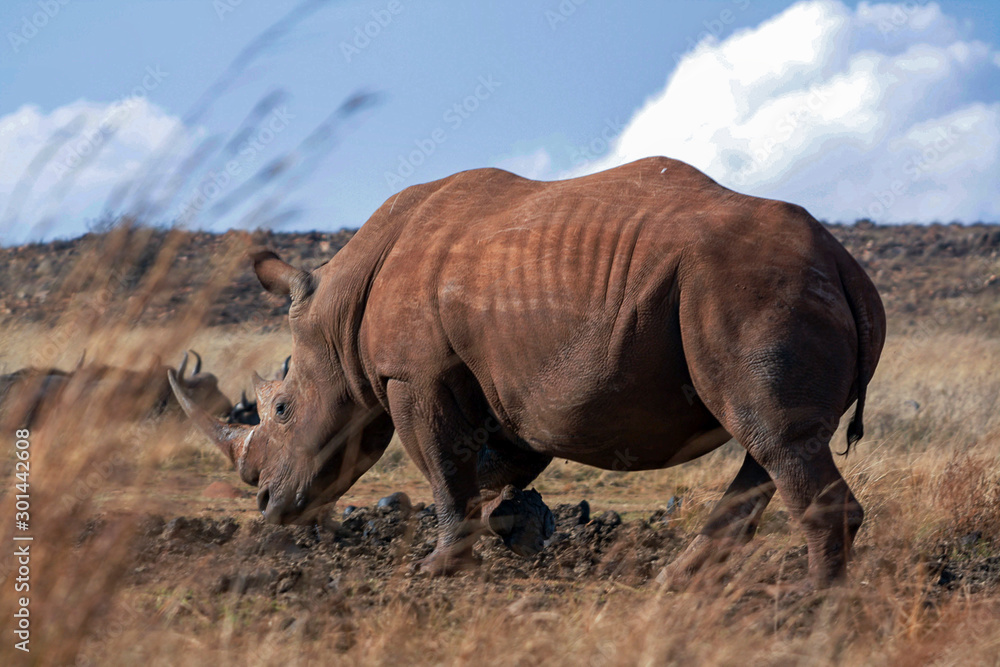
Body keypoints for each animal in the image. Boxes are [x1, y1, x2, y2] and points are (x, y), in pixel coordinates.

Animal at [171, 157, 885, 586]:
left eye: (283, 409)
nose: (266, 505)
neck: (340, 311)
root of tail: (847, 266)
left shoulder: (413, 375)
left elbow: (443, 468)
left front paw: (437, 568)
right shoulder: (505, 381)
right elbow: (494, 465)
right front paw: (509, 530)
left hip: (753, 288)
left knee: (772, 436)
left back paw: (813, 611)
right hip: (759, 286)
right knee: (768, 444)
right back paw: (676, 583)